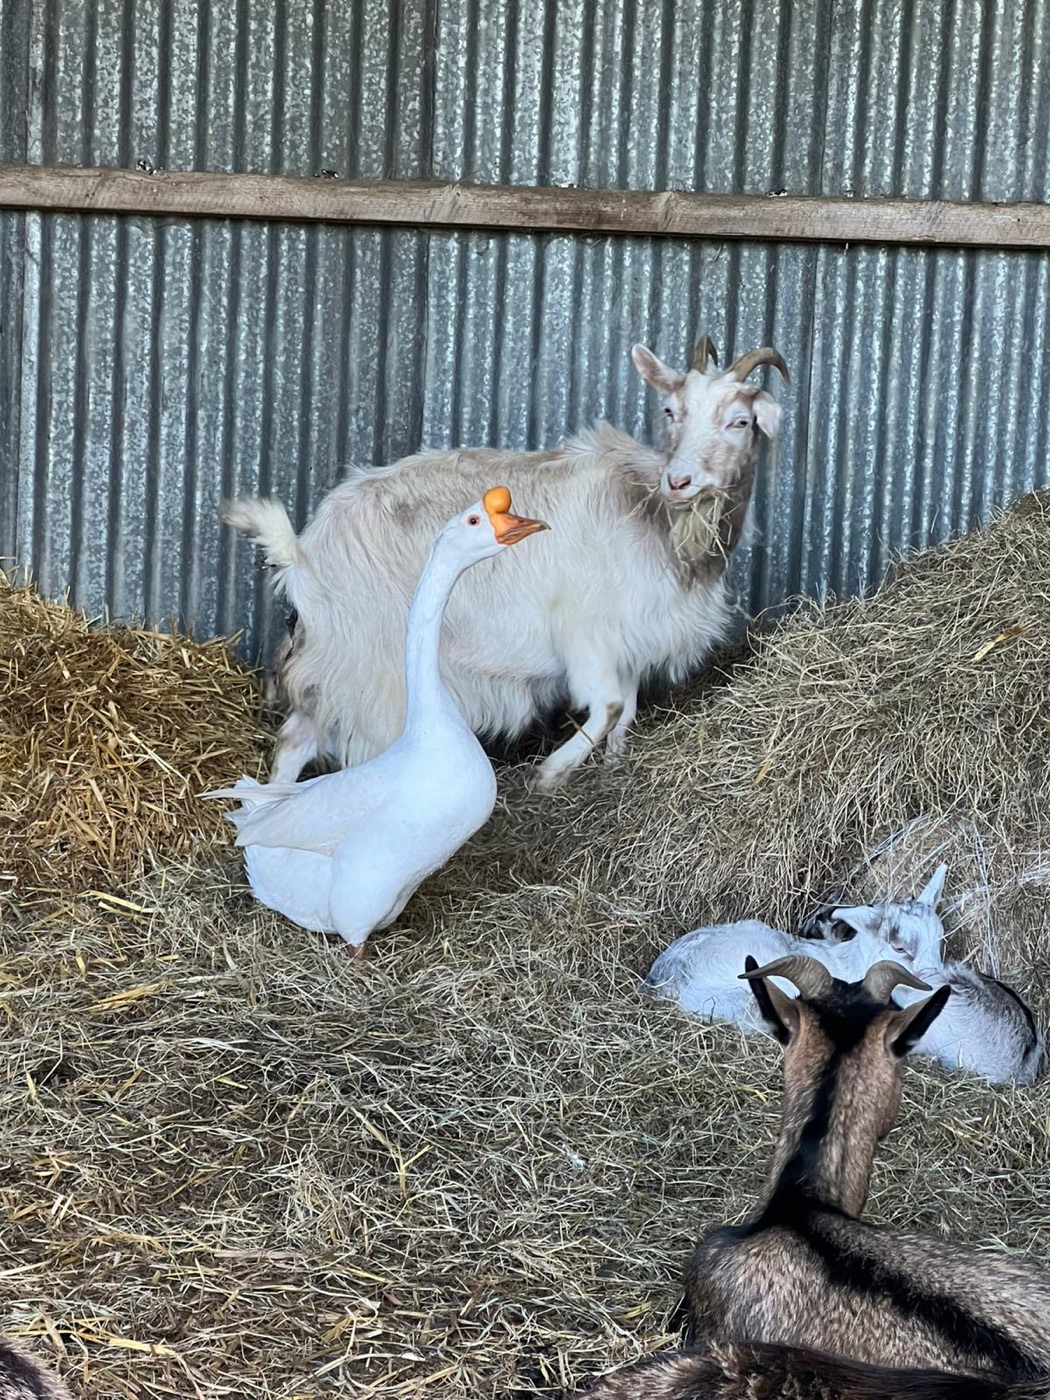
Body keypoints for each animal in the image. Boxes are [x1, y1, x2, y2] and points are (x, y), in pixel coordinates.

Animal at [223, 337, 787, 788]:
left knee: (294, 741)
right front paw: (550, 774)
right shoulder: (584, 631)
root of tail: (301, 552)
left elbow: (624, 712)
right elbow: (606, 706)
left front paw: (608, 768)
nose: (679, 481)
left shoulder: (629, 638)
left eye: (740, 421)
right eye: (671, 412)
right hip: (370, 669)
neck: (657, 519)